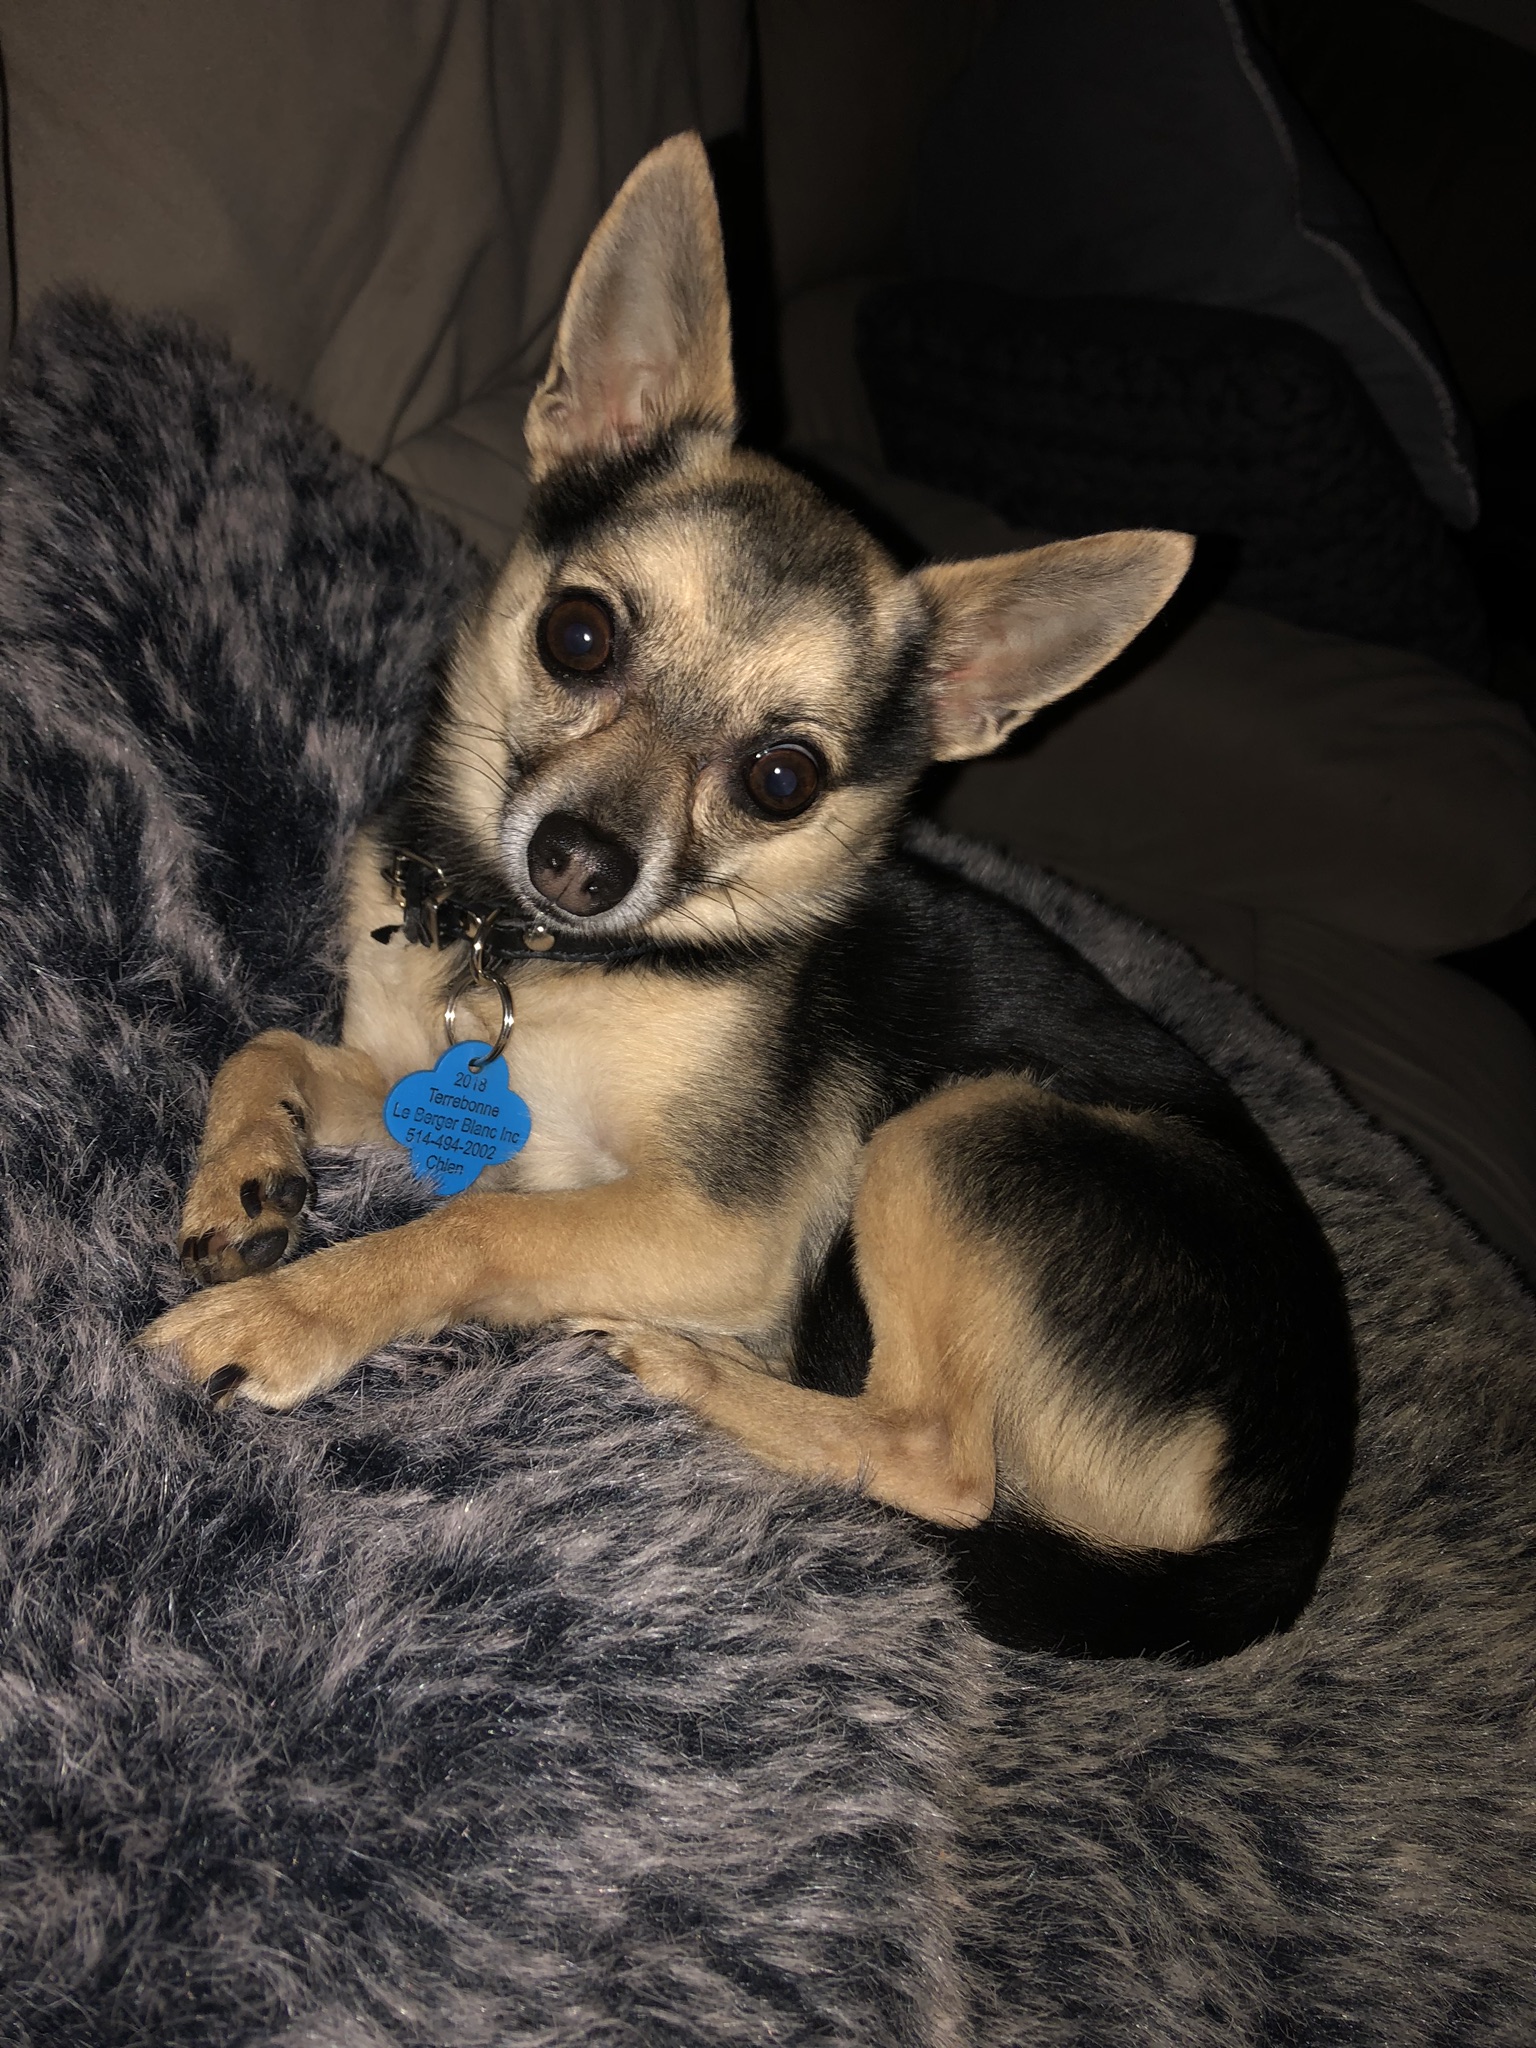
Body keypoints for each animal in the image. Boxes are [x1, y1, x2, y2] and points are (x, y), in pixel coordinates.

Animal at [140, 133, 1355, 1662]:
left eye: (785, 779)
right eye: (578, 635)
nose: (579, 860)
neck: (528, 947)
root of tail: (1295, 1517)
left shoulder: (713, 1220)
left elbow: (472, 1227)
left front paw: (286, 1313)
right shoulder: (427, 1081)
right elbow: (274, 1043)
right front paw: (248, 1172)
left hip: (959, 1132)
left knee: (940, 1462)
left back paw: (682, 1371)